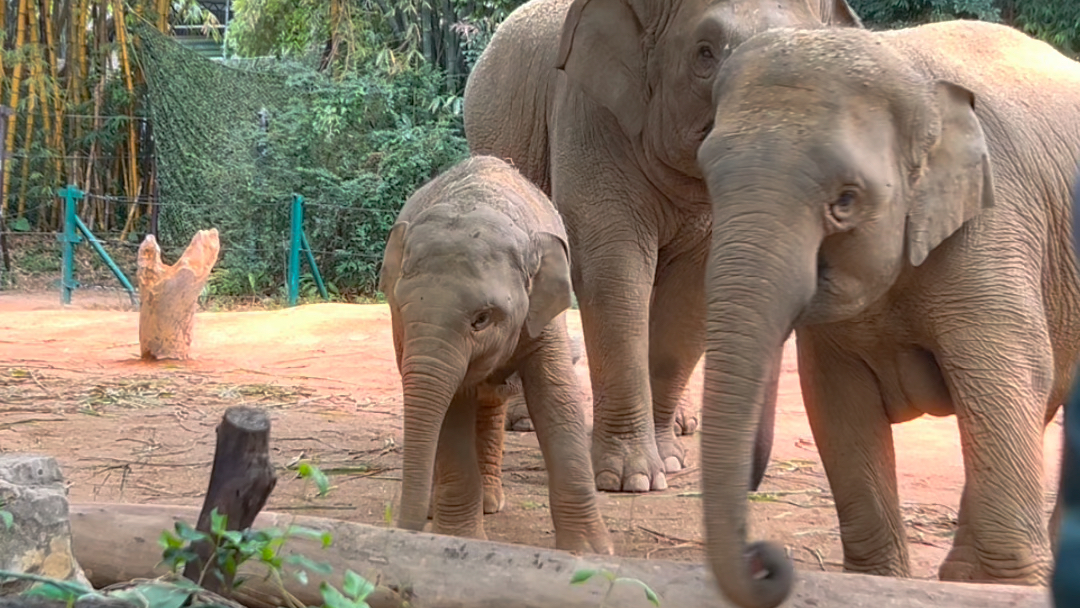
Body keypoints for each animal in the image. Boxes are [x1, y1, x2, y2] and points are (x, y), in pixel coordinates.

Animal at [380, 154, 617, 552]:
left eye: (481, 319)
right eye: (400, 307)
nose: (404, 532)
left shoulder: (542, 315)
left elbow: (557, 398)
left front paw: (589, 551)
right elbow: (453, 407)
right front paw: (461, 539)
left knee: (491, 403)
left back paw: (488, 503)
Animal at [464, 0, 859, 492]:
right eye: (705, 53)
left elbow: (693, 290)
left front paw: (668, 461)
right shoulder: (590, 115)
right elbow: (614, 270)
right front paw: (631, 480)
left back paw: (686, 425)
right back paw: (523, 420)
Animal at [691, 20, 1080, 608]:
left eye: (846, 201)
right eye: (708, 176)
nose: (763, 558)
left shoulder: (997, 225)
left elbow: (1006, 378)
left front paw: (1000, 587)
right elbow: (836, 399)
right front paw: (877, 581)